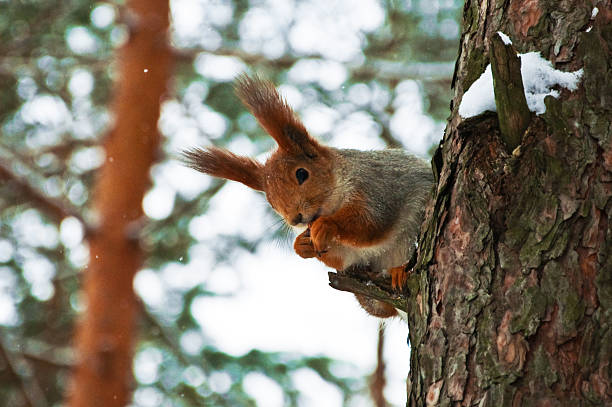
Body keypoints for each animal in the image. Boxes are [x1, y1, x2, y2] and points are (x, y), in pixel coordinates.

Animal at [183, 75, 436, 320]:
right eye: (270, 202)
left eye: (302, 174)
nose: (295, 219)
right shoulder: (349, 254)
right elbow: (342, 257)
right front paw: (301, 244)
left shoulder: (377, 188)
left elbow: (371, 222)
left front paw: (327, 225)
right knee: (380, 307)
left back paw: (400, 270)